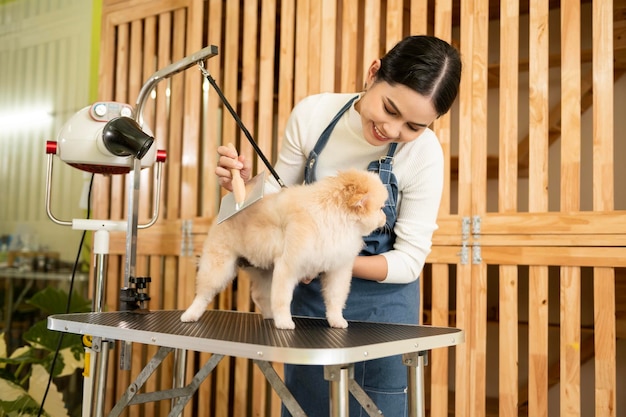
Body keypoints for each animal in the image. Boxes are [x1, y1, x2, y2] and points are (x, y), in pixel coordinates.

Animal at [178, 169, 388, 328]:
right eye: (380, 208)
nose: (385, 219)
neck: (335, 218)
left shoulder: (338, 269)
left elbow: (335, 299)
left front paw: (337, 320)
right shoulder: (288, 266)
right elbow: (282, 298)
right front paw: (284, 323)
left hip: (264, 270)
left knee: (259, 295)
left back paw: (269, 316)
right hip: (219, 266)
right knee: (204, 293)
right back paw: (190, 314)